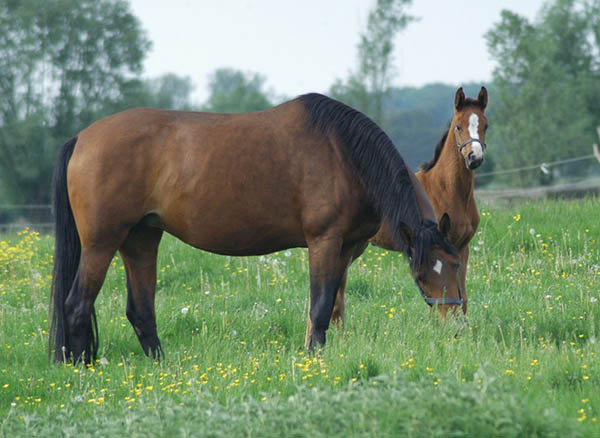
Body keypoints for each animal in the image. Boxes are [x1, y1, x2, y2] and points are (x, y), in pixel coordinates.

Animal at [52, 92, 464, 362]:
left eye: (455, 265)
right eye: (422, 275)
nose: (455, 326)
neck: (345, 153)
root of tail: (82, 138)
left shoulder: (346, 249)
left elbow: (333, 307)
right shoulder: (324, 242)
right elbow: (320, 307)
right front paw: (313, 359)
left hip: (140, 240)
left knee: (140, 311)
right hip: (101, 244)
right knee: (76, 305)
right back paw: (80, 369)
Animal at [330, 86, 490, 326]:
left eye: (485, 125)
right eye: (458, 126)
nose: (474, 158)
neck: (447, 190)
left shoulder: (461, 248)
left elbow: (462, 297)